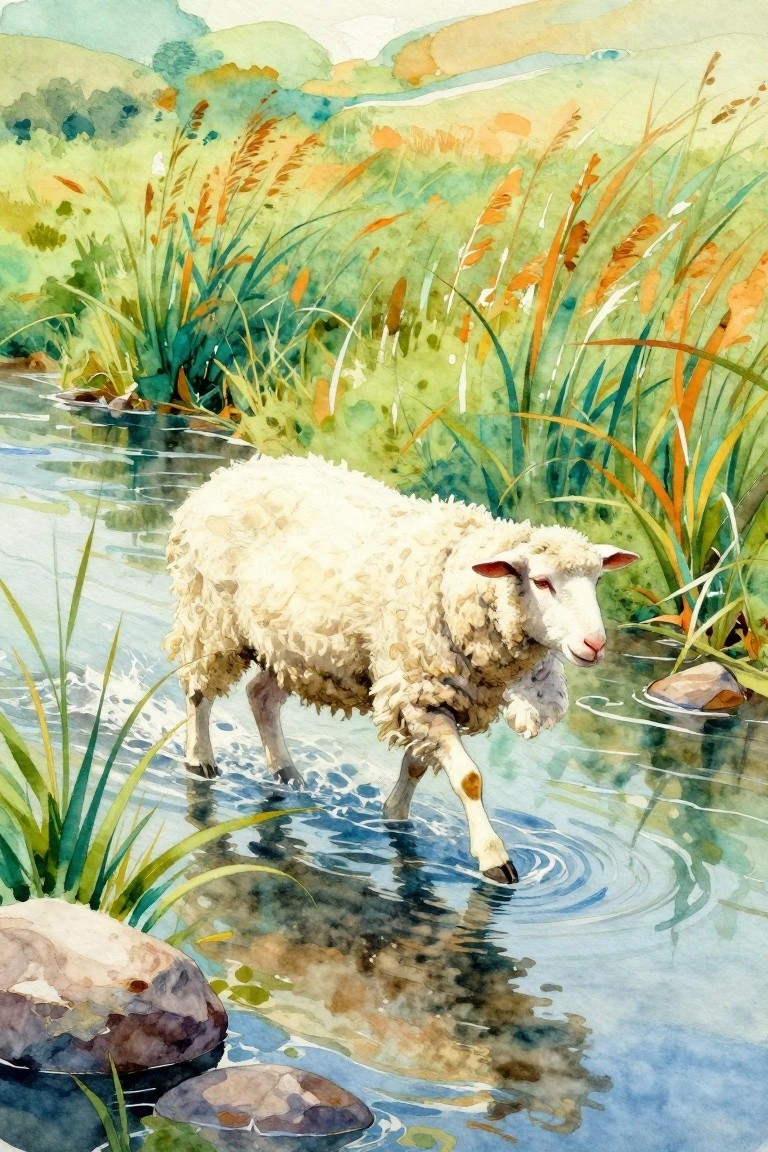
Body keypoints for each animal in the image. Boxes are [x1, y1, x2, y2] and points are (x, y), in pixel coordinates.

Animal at [164, 453, 637, 884]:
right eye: (541, 581)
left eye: (597, 580)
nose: (594, 644)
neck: (453, 579)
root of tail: (232, 471)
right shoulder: (418, 687)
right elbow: (469, 779)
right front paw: (493, 858)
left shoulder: (432, 695)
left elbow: (416, 766)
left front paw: (394, 816)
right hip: (212, 618)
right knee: (198, 690)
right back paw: (200, 761)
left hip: (297, 650)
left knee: (260, 696)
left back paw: (288, 775)